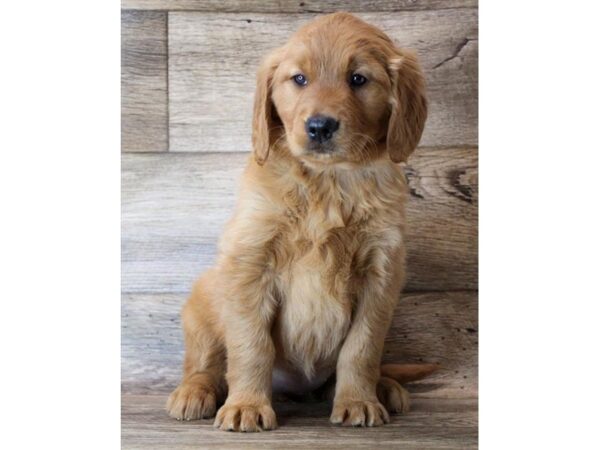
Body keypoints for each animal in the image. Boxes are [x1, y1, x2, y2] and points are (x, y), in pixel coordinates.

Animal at [168, 12, 432, 430]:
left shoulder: (382, 271)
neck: (328, 182)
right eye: (300, 79)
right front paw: (246, 406)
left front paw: (358, 401)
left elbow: (362, 348)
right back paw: (195, 392)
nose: (320, 126)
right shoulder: (250, 260)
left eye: (358, 79)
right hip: (203, 299)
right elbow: (251, 345)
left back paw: (384, 387)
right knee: (206, 363)